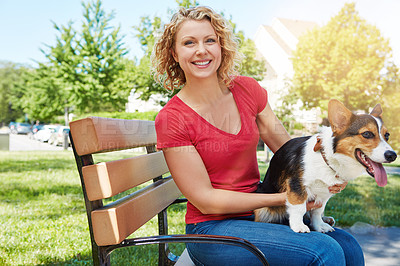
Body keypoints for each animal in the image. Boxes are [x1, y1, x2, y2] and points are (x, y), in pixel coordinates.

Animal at [256, 99, 396, 233]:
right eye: (367, 134)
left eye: (387, 135)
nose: (393, 155)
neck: (328, 159)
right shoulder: (297, 185)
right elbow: (299, 207)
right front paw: (298, 226)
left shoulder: (324, 193)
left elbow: (317, 210)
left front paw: (319, 225)